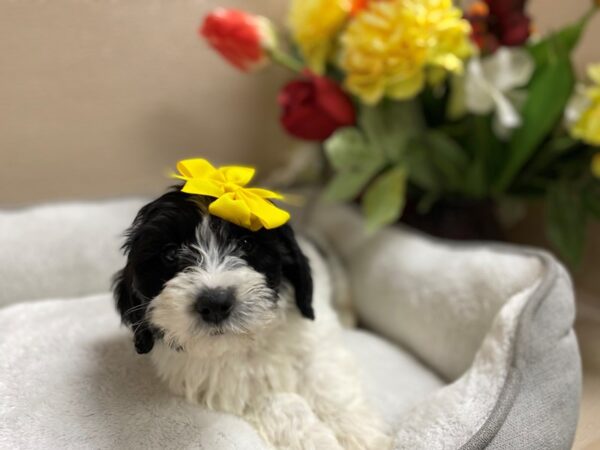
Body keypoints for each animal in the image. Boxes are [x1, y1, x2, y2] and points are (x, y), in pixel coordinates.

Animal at [113, 190, 390, 450]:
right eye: (170, 253)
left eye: (246, 243)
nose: (215, 303)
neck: (250, 338)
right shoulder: (229, 384)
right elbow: (282, 405)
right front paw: (318, 441)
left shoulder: (315, 345)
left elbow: (328, 385)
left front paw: (361, 435)